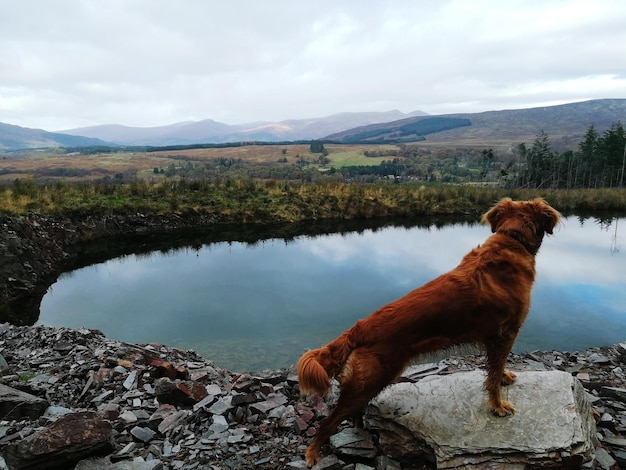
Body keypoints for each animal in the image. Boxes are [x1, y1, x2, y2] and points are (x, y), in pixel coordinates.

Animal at [294, 198, 560, 466]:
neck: (512, 239)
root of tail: (357, 329)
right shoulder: (505, 333)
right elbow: (492, 377)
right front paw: (497, 406)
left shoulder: (494, 337)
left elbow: (496, 368)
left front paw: (504, 376)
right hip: (368, 382)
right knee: (329, 421)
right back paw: (312, 453)